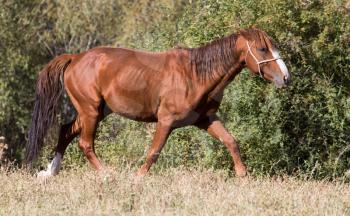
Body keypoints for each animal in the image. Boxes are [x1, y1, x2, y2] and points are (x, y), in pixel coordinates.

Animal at [26, 27, 290, 178]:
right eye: (262, 49)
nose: (286, 77)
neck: (195, 75)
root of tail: (75, 58)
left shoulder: (206, 119)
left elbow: (231, 142)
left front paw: (243, 176)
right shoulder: (166, 121)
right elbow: (154, 153)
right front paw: (138, 179)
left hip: (97, 111)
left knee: (65, 132)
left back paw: (49, 173)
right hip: (90, 111)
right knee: (85, 144)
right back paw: (107, 175)